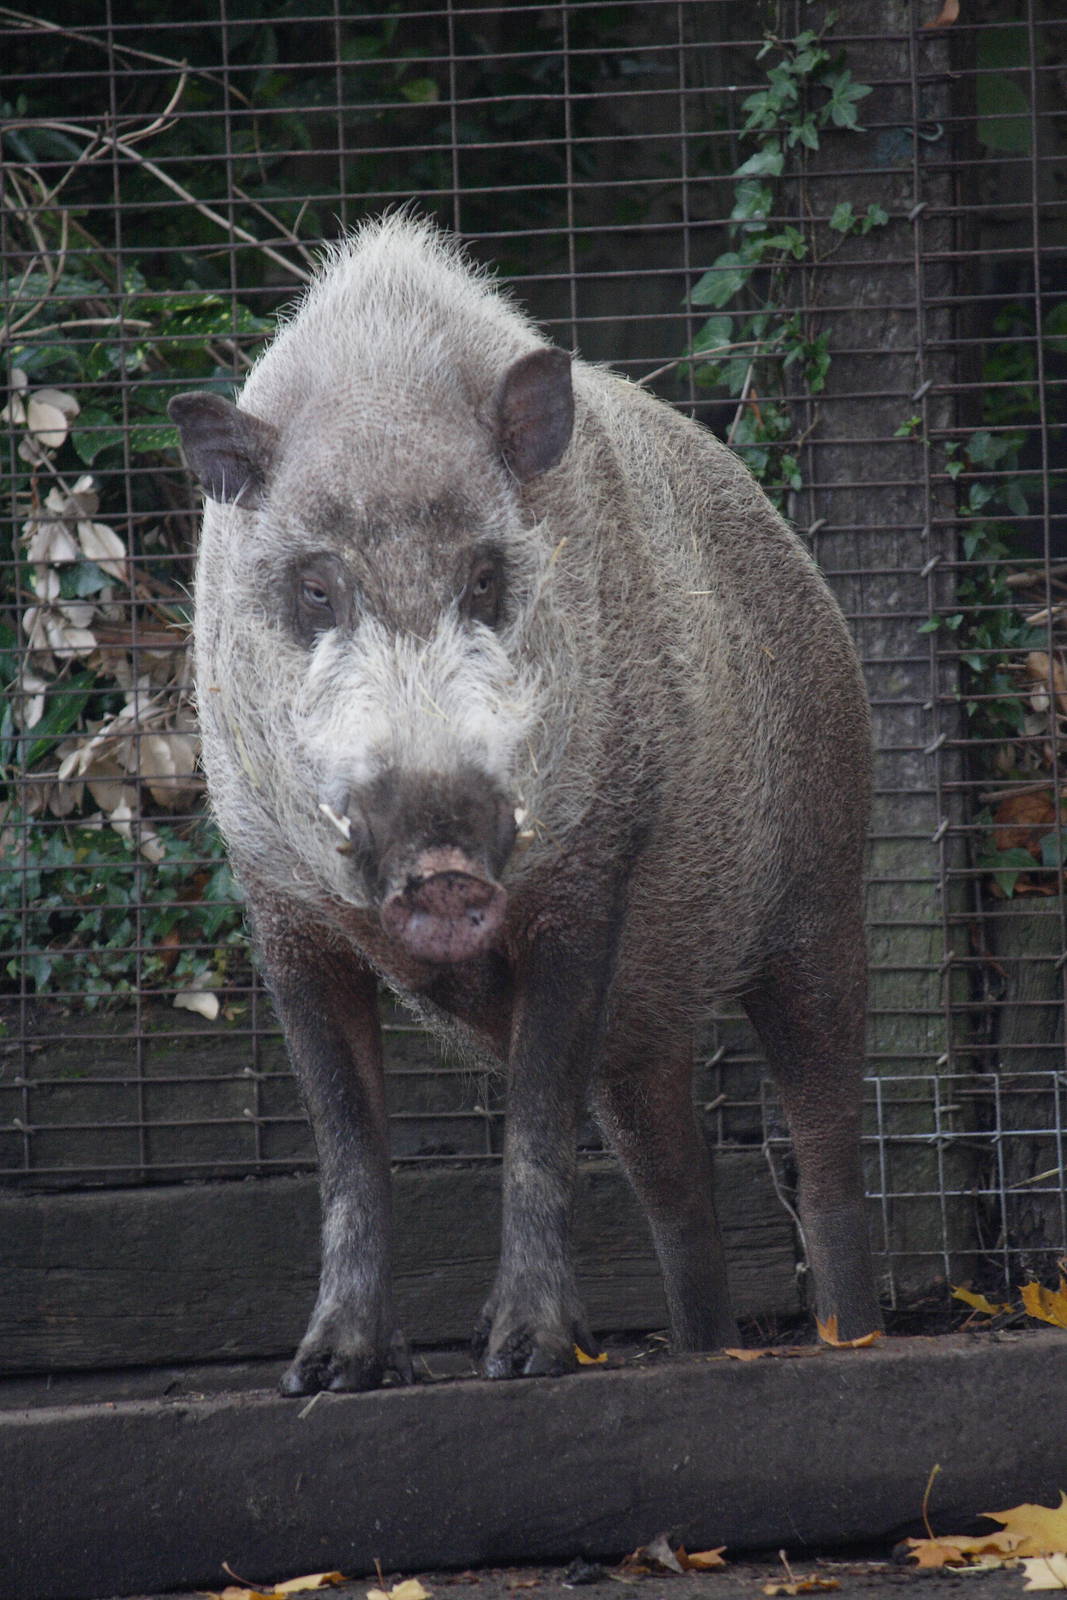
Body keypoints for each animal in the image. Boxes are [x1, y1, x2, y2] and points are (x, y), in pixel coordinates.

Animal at [168, 212, 882, 1395]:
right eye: (315, 588)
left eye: (486, 580)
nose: (441, 859)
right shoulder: (279, 905)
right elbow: (348, 1145)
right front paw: (327, 1375)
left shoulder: (594, 870)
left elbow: (535, 1123)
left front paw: (525, 1359)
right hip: (653, 1020)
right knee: (675, 1182)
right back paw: (704, 1347)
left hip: (826, 893)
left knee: (823, 1143)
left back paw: (849, 1341)